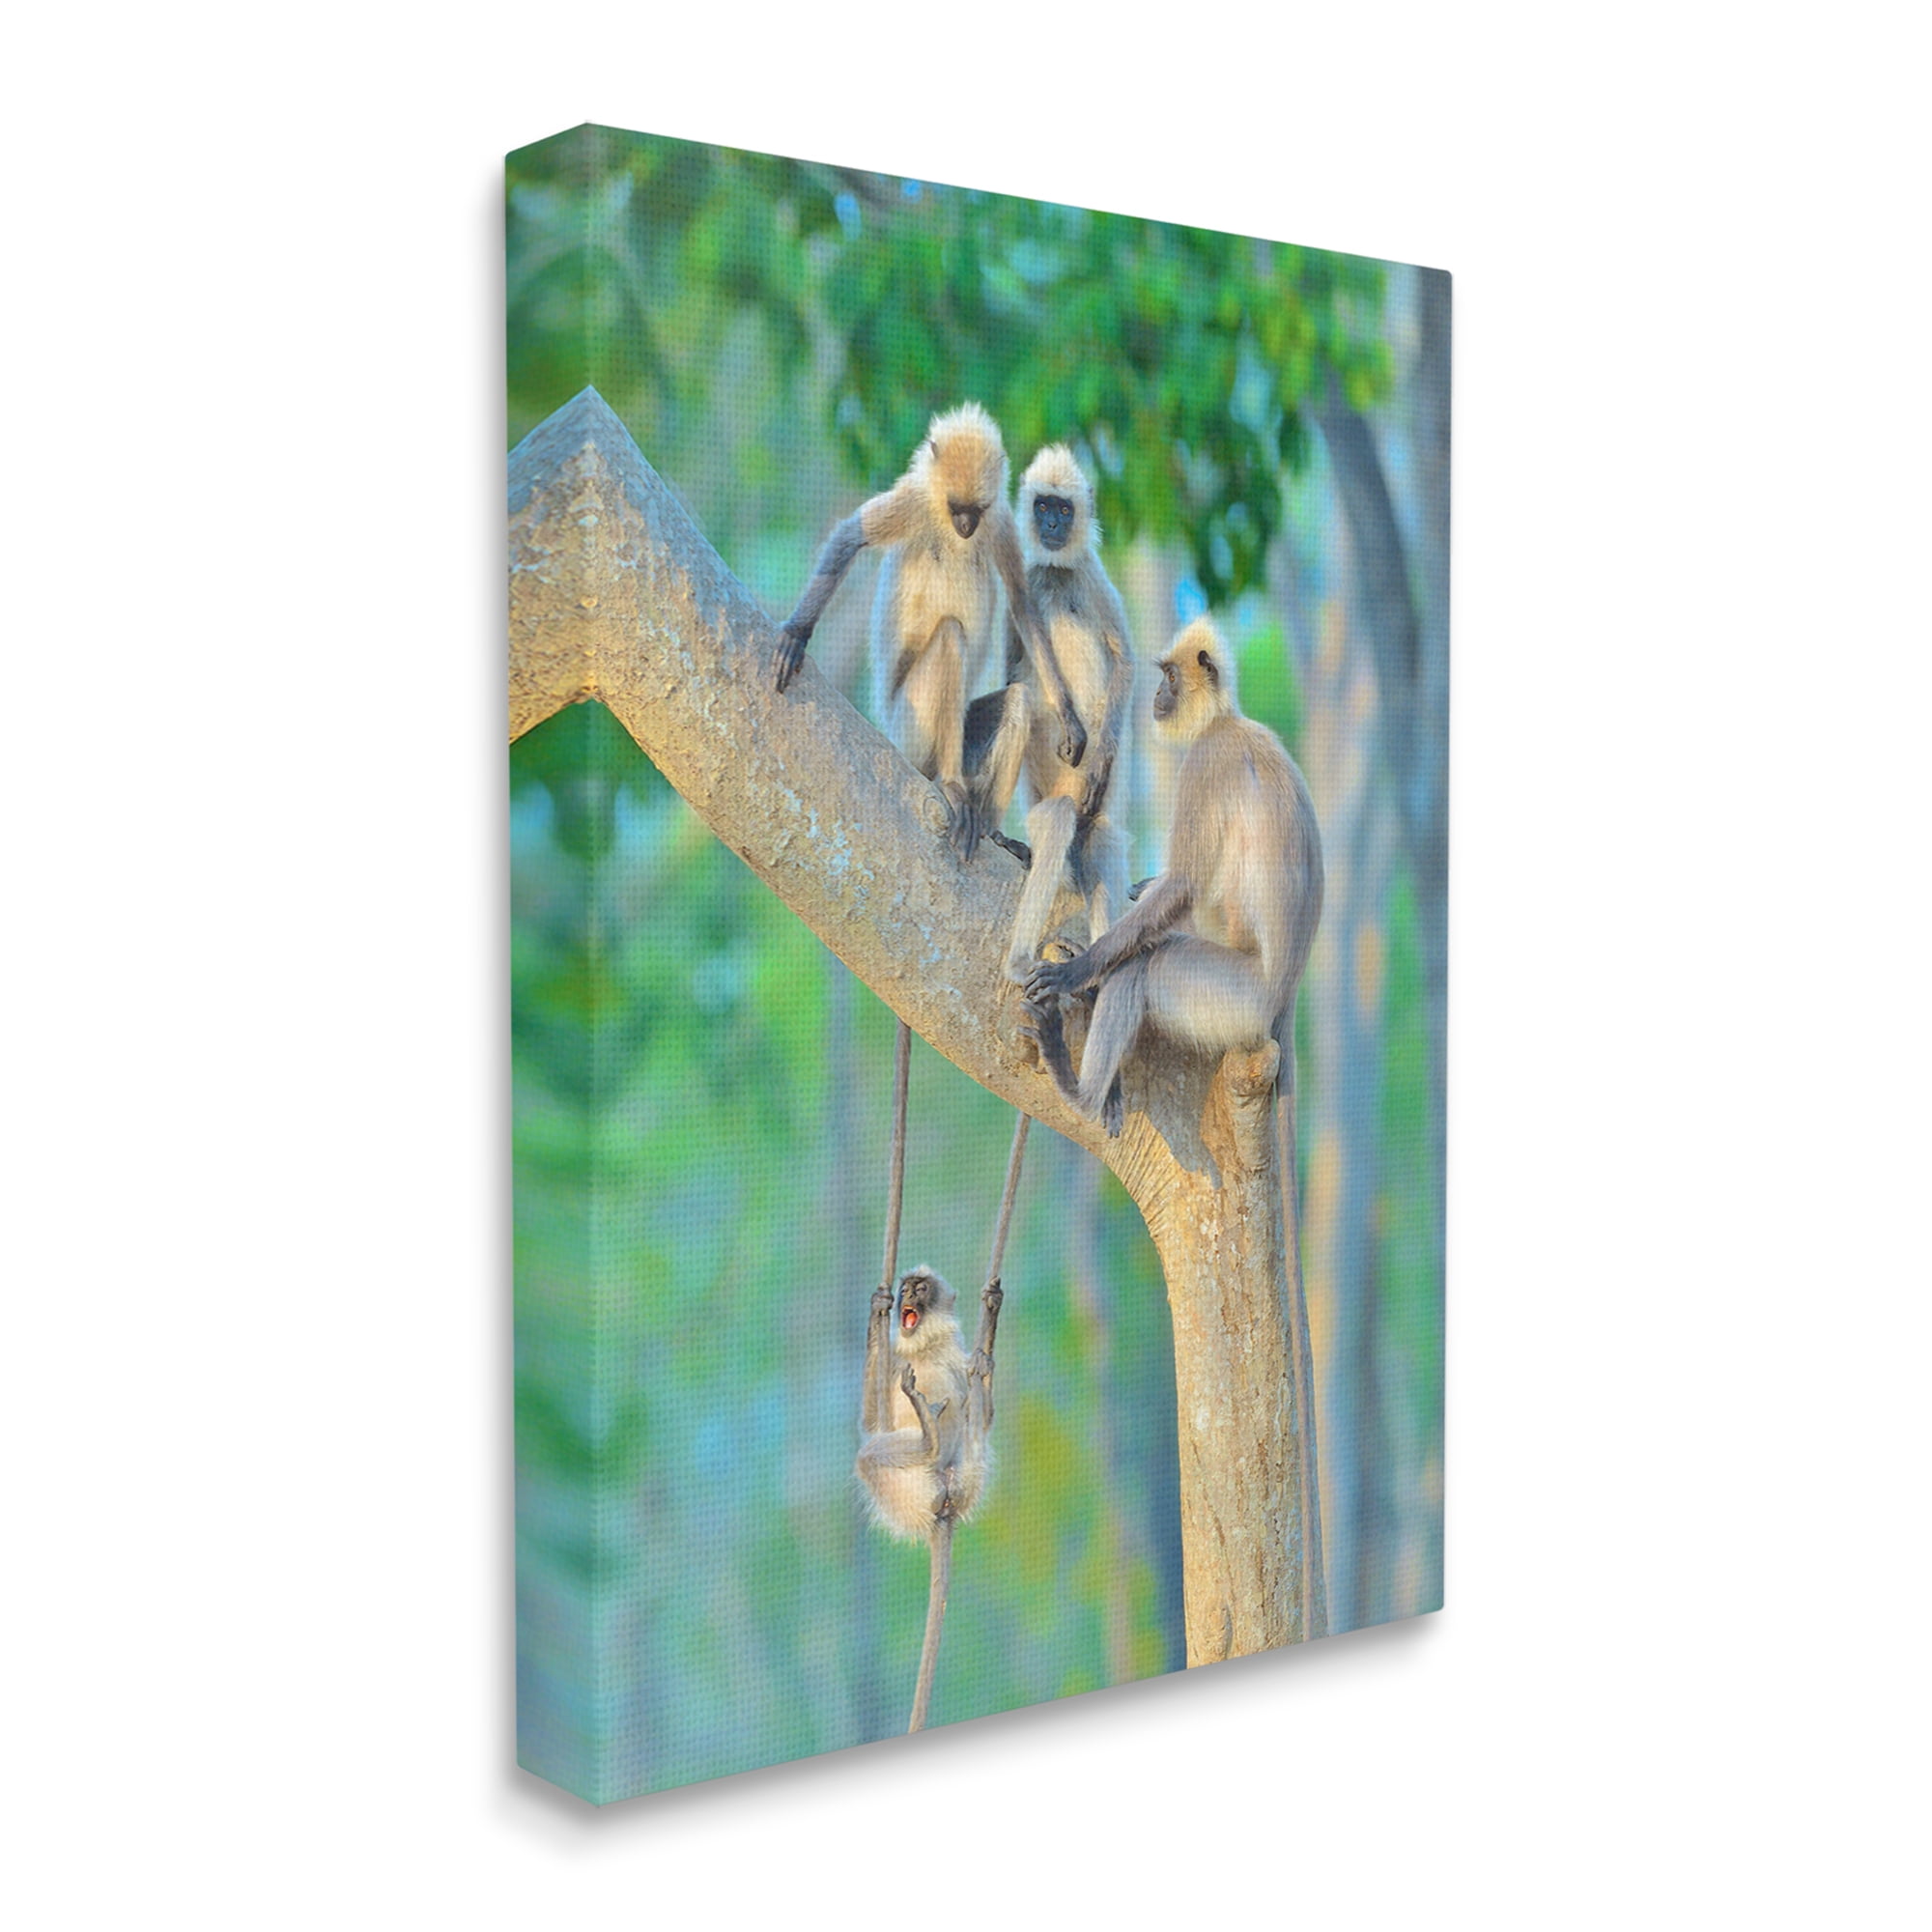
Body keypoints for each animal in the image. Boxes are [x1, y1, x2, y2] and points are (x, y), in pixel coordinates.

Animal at [773, 401, 1086, 864]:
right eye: (955, 507)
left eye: (975, 510)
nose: (965, 526)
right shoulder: (916, 499)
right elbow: (850, 537)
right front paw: (797, 632)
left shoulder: (999, 520)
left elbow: (1022, 604)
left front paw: (1068, 715)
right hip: (911, 726)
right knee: (952, 637)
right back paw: (952, 786)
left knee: (1019, 702)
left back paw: (992, 830)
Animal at [999, 445, 1136, 982]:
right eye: (1042, 507)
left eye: (1063, 509)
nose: (1052, 527)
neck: (1058, 573)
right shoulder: (1026, 581)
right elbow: (1013, 670)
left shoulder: (1092, 575)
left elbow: (1125, 662)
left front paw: (1096, 758)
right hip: (1047, 807)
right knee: (1057, 821)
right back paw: (1020, 961)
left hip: (1092, 812)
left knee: (1101, 838)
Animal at [1021, 617, 1324, 1139]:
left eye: (1171, 677)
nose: (1158, 693)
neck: (1225, 720)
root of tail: (1284, 999)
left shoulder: (1208, 759)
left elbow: (1184, 885)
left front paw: (1074, 973)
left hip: (1234, 999)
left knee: (1145, 963)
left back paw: (1080, 1092)